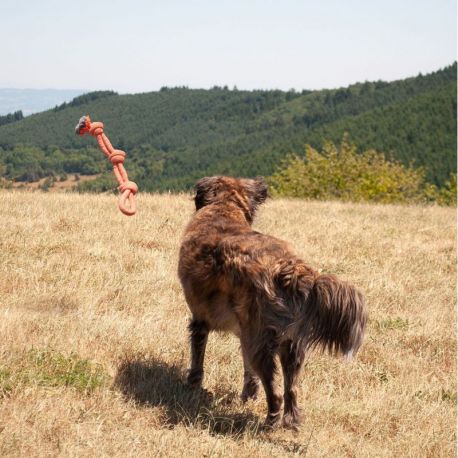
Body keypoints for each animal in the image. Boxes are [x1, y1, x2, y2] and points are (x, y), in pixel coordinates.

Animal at [177, 176, 366, 430]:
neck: (224, 209)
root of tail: (289, 270)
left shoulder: (201, 321)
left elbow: (198, 359)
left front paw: (192, 387)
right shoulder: (244, 333)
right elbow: (248, 371)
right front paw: (248, 395)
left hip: (263, 343)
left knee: (275, 393)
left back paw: (268, 424)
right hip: (290, 344)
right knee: (291, 389)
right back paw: (291, 422)